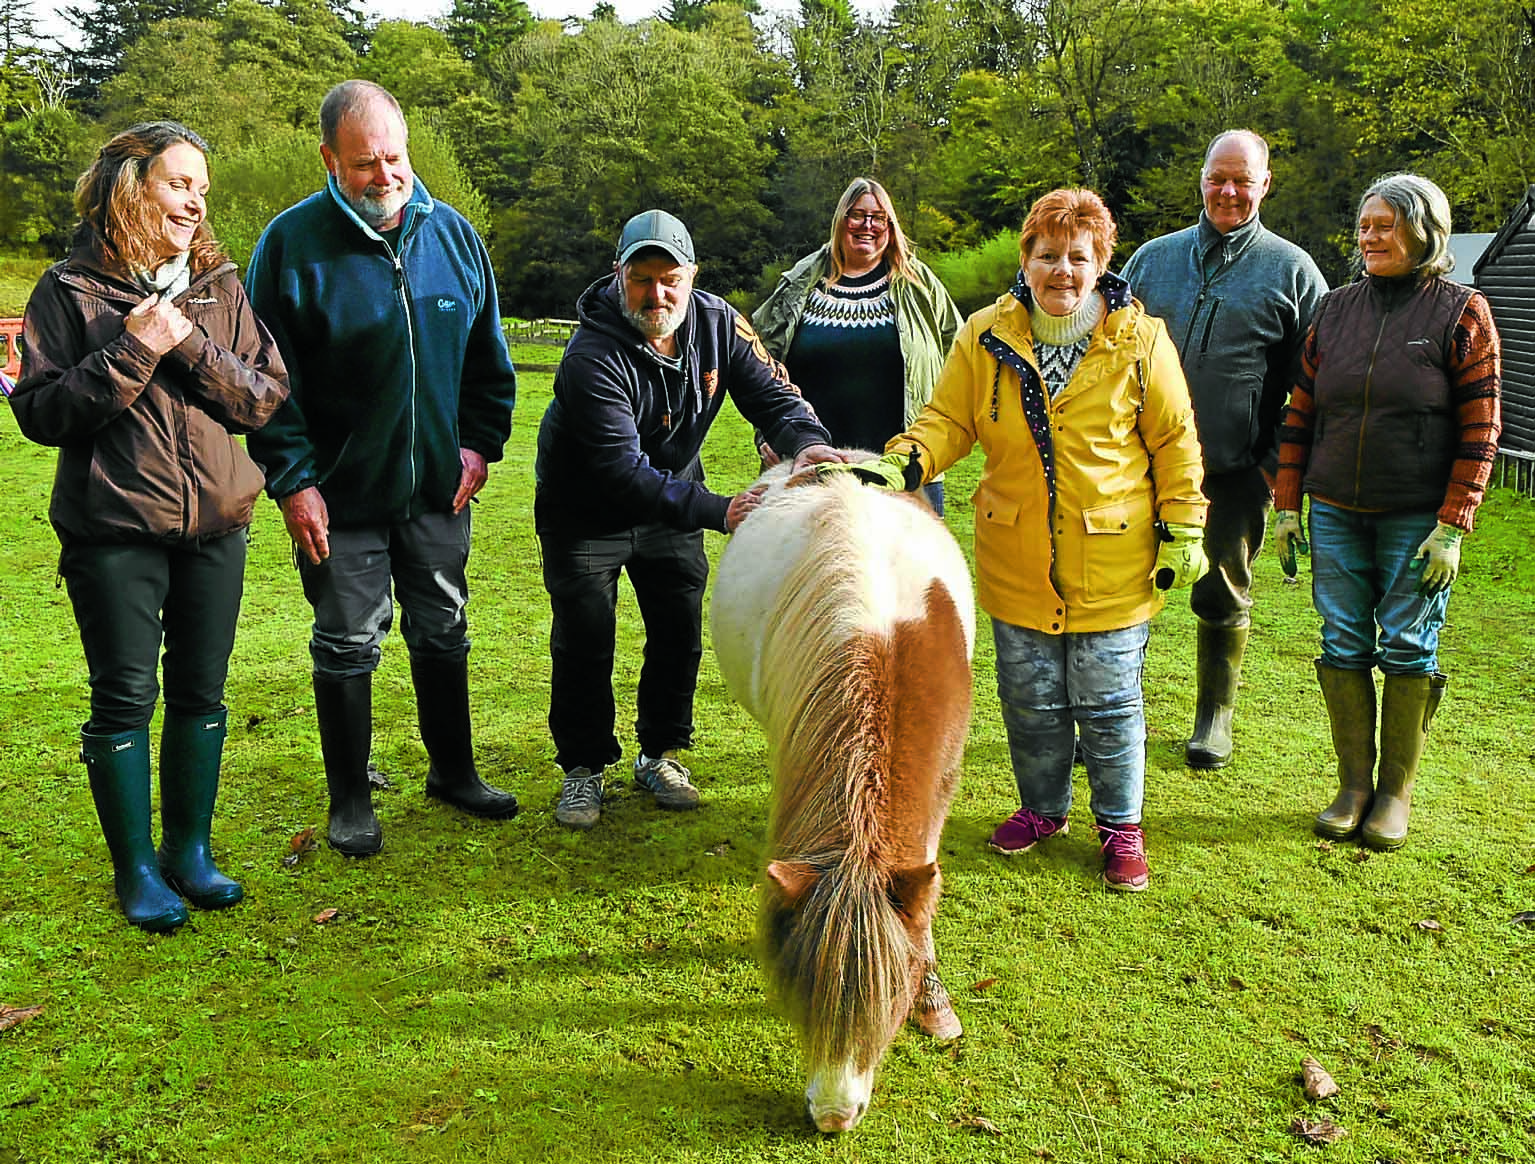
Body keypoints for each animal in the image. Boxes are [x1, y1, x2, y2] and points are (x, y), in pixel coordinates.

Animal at [712, 463, 976, 1130]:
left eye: (891, 1000)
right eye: (802, 995)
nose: (834, 1117)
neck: (883, 639)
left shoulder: (939, 790)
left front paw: (933, 998)